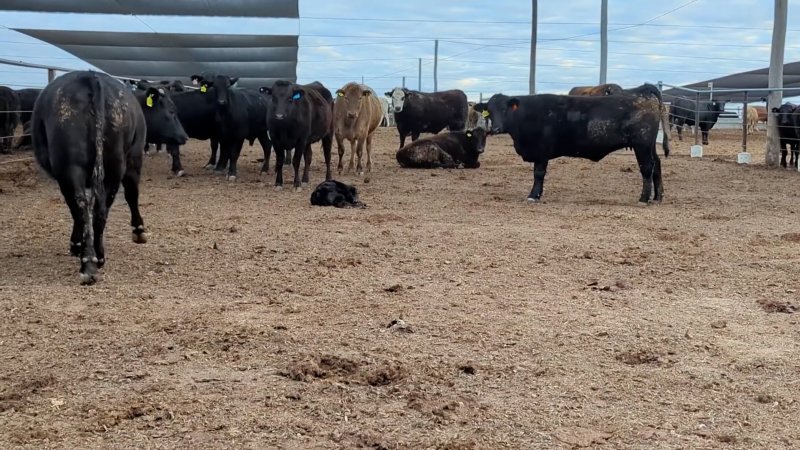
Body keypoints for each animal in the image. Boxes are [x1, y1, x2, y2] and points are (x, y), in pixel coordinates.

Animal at [31, 70, 188, 284]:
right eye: (172, 111)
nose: (185, 137)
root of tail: (90, 78)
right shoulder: (135, 156)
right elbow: (132, 194)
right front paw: (139, 230)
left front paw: (76, 244)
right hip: (112, 165)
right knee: (98, 207)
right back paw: (95, 258)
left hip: (74, 168)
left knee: (84, 206)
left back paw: (89, 261)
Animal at [474, 92, 669, 205]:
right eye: (489, 111)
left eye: (504, 109)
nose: (496, 128)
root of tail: (648, 99)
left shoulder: (542, 151)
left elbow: (538, 174)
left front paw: (534, 195)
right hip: (650, 146)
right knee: (657, 164)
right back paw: (658, 197)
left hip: (642, 145)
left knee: (647, 168)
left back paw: (644, 198)